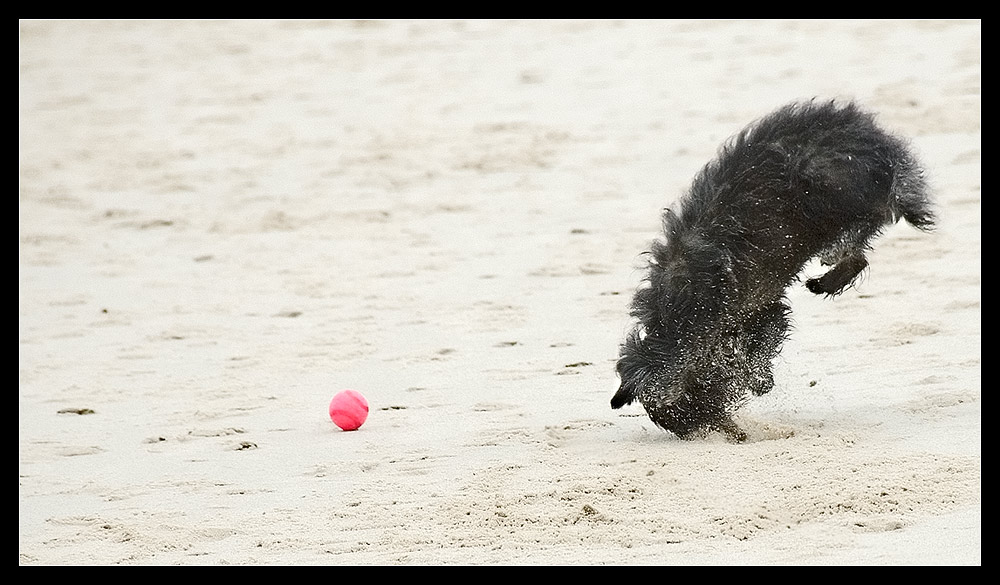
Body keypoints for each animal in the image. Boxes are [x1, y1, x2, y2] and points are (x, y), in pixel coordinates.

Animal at [612, 100, 932, 440]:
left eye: (696, 404)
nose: (730, 435)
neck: (676, 321)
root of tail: (871, 135)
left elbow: (754, 354)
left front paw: (757, 380)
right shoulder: (763, 311)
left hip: (830, 188)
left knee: (864, 228)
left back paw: (830, 265)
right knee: (860, 256)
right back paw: (825, 281)